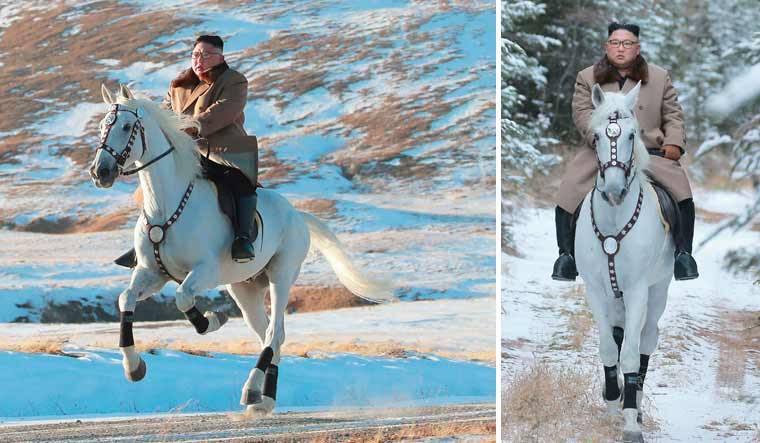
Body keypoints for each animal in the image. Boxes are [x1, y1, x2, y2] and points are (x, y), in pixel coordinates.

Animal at [89, 84, 396, 415]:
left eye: (126, 126)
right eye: (102, 126)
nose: (100, 172)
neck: (165, 206)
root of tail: (297, 214)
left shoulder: (205, 271)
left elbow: (183, 298)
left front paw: (212, 320)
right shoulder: (152, 273)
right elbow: (126, 299)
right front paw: (134, 367)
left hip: (281, 276)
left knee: (274, 333)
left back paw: (251, 391)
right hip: (245, 289)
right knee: (270, 336)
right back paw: (264, 399)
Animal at [574, 81, 674, 442]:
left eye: (632, 135)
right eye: (597, 137)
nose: (614, 189)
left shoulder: (636, 291)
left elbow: (631, 355)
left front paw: (630, 420)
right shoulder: (595, 290)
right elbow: (608, 348)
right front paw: (612, 402)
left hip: (657, 291)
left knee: (646, 340)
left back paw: (638, 403)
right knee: (618, 336)